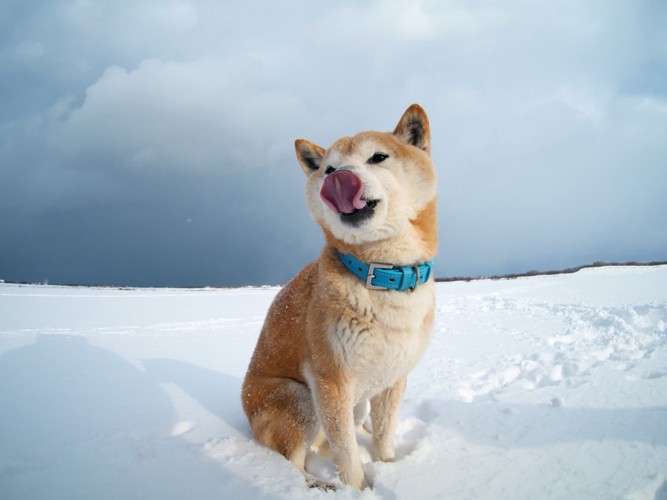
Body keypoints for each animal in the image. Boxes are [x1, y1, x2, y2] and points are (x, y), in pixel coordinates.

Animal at [240, 103, 438, 490]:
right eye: (329, 168)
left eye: (378, 157)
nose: (340, 177)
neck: (382, 274)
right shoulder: (330, 381)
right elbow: (346, 454)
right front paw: (359, 489)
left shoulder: (393, 379)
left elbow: (383, 437)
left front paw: (389, 467)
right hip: (299, 399)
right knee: (293, 459)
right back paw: (320, 484)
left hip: (350, 402)